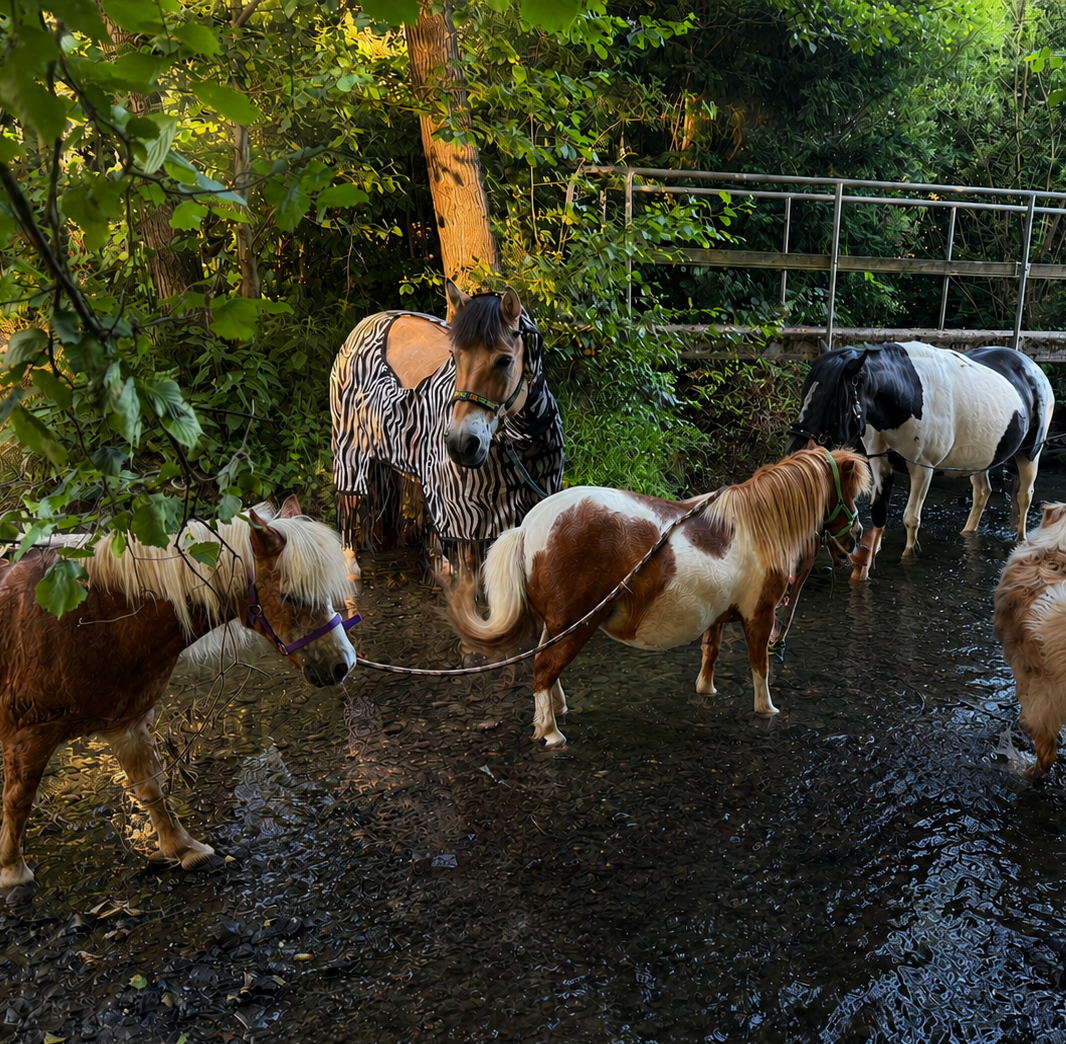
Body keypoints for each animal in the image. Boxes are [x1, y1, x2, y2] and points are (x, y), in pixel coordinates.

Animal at [0, 496, 357, 899]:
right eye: (291, 596)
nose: (342, 665)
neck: (84, 619)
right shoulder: (28, 735)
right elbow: (18, 801)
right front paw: (13, 871)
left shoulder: (126, 725)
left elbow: (150, 788)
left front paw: (182, 848)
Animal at [330, 282, 565, 585]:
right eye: (454, 356)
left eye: (504, 361)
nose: (461, 444)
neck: (521, 443)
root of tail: (370, 320)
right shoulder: (466, 518)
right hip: (350, 453)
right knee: (349, 503)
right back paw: (350, 568)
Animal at [445, 447, 871, 747]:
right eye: (849, 494)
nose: (857, 537)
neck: (756, 526)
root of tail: (528, 525)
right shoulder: (760, 616)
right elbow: (760, 667)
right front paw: (766, 710)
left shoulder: (719, 617)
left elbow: (710, 653)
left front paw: (706, 690)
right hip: (577, 623)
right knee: (544, 667)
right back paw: (550, 732)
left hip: (560, 623)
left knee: (545, 664)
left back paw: (557, 708)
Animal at [785, 341, 1054, 581]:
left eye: (830, 396)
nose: (794, 446)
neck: (906, 393)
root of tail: (1032, 366)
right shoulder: (880, 462)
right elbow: (879, 512)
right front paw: (862, 571)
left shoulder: (923, 469)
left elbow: (910, 518)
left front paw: (908, 556)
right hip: (981, 458)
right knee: (982, 492)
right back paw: (967, 531)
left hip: (1030, 453)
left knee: (1024, 496)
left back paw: (1021, 541)